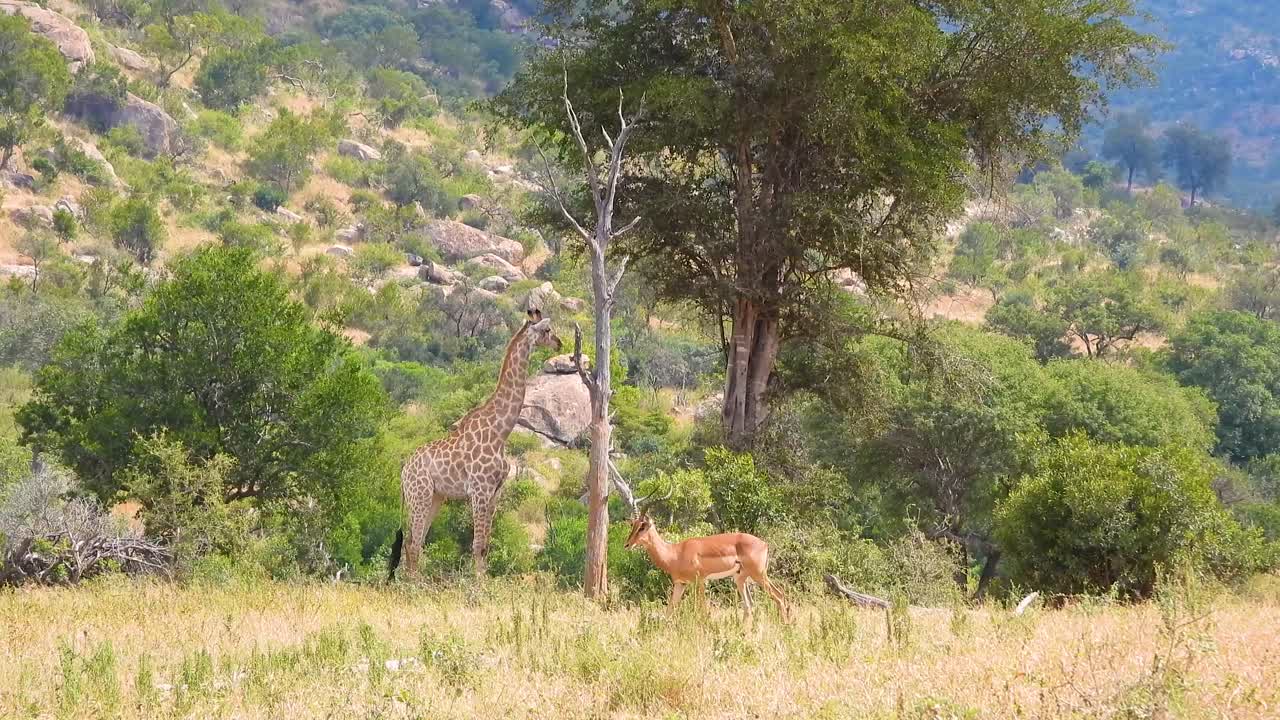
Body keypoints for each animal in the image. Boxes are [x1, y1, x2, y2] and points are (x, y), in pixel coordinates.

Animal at [389, 308, 562, 580]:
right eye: (547, 330)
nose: (559, 343)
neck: (500, 431)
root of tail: (403, 472)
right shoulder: (480, 490)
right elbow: (478, 544)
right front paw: (477, 585)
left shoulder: (495, 492)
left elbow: (486, 545)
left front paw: (484, 582)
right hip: (420, 494)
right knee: (412, 541)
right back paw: (411, 585)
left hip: (436, 497)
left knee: (416, 541)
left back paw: (413, 582)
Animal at [623, 493, 790, 624]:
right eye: (633, 525)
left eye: (642, 526)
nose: (627, 544)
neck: (675, 553)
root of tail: (764, 544)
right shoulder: (680, 584)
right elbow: (669, 610)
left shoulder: (700, 581)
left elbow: (703, 610)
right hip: (740, 578)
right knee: (749, 605)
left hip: (759, 575)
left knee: (779, 595)